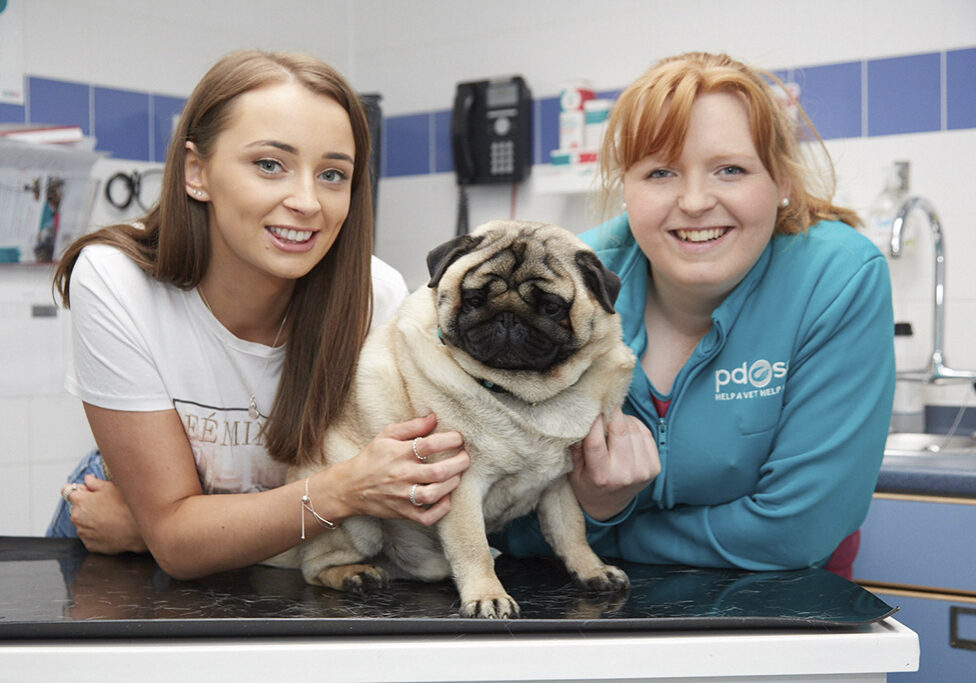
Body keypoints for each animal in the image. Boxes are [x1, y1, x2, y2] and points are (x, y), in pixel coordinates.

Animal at [270, 220, 632, 620]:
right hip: (355, 520)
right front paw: (488, 595)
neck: (522, 395)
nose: (508, 316)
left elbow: (572, 531)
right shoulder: (458, 484)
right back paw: (354, 574)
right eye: (474, 299)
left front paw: (592, 570)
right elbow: (472, 546)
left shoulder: (558, 484)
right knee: (314, 567)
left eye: (551, 307)